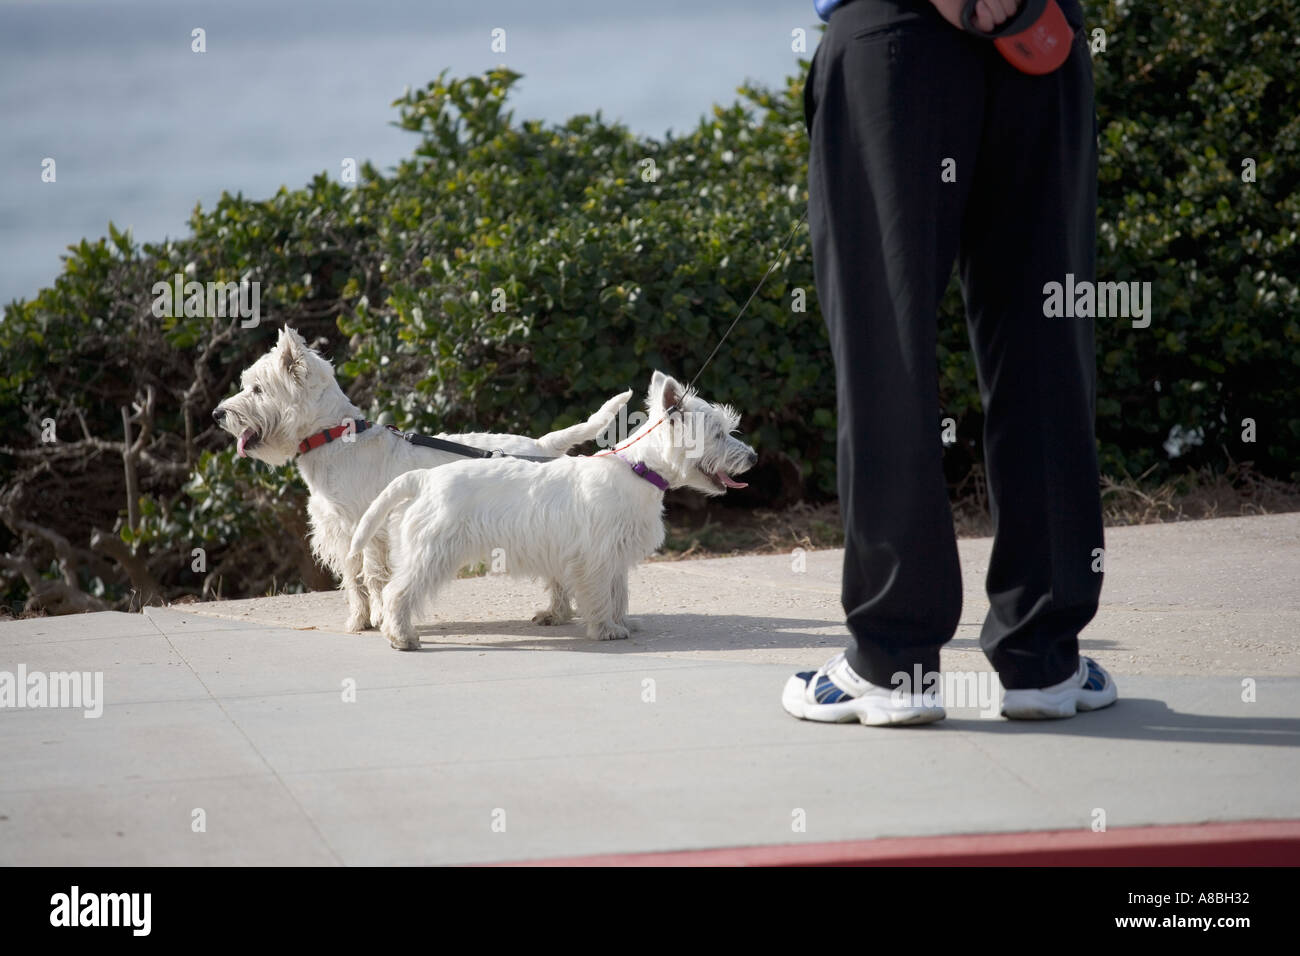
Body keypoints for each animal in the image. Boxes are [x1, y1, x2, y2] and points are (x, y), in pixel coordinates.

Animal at [213, 329, 629, 634]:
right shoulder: (343, 532)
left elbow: (372, 577)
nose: (217, 414)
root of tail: (541, 445)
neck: (332, 436)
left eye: (257, 389)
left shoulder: (368, 529)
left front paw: (377, 618)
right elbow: (354, 580)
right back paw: (556, 613)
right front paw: (360, 619)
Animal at [345, 371, 759, 650]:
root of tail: (422, 479)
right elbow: (599, 594)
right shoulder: (596, 556)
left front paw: (622, 621)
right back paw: (403, 638)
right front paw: (606, 630)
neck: (638, 469)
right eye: (719, 433)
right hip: (431, 552)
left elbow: (618, 593)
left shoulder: (615, 556)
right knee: (398, 592)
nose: (753, 457)